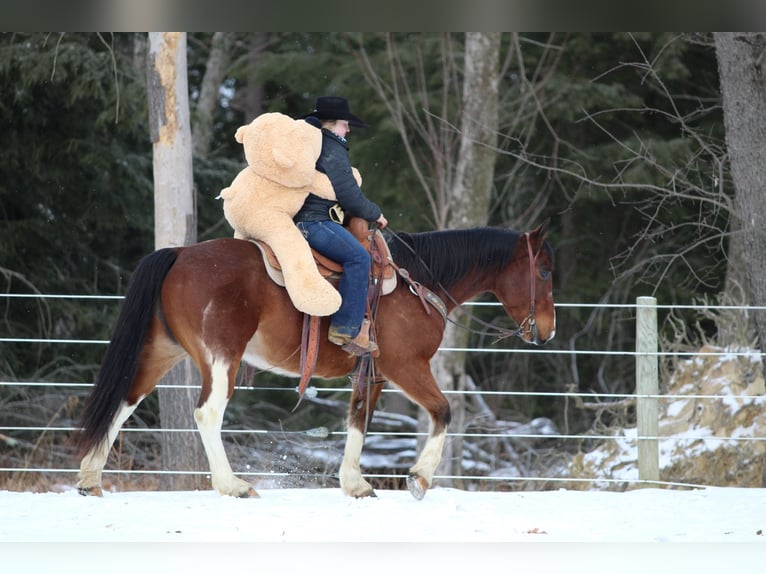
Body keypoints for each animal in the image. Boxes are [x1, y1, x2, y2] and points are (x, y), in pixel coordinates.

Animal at [75, 223, 556, 502]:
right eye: (545, 271)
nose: (548, 331)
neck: (418, 280)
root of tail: (179, 253)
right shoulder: (406, 366)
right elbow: (443, 411)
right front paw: (418, 479)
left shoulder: (373, 373)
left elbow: (358, 419)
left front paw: (355, 483)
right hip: (221, 357)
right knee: (207, 413)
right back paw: (232, 485)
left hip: (161, 351)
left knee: (124, 402)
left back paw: (90, 479)